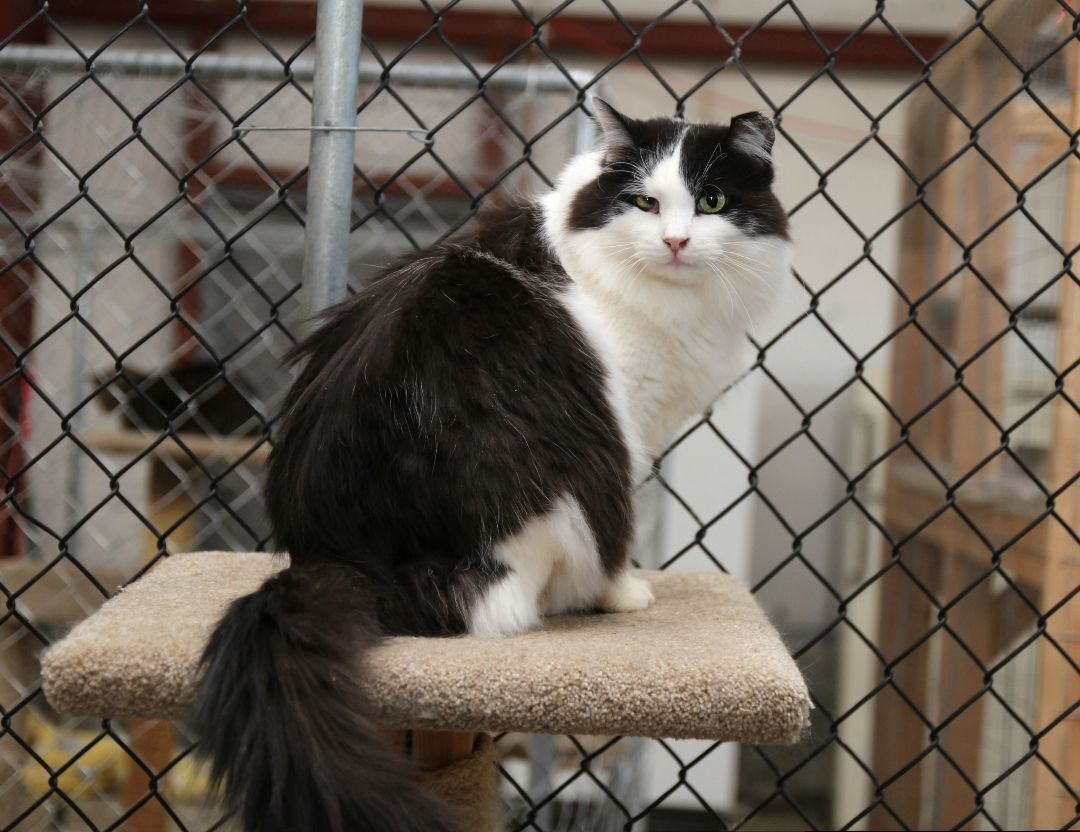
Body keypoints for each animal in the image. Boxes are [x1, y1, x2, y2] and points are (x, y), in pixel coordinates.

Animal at [190, 102, 790, 829]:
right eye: (645, 203)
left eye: (712, 202)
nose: (675, 242)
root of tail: (336, 556)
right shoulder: (628, 426)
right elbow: (622, 545)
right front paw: (627, 593)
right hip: (563, 483)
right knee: (500, 604)